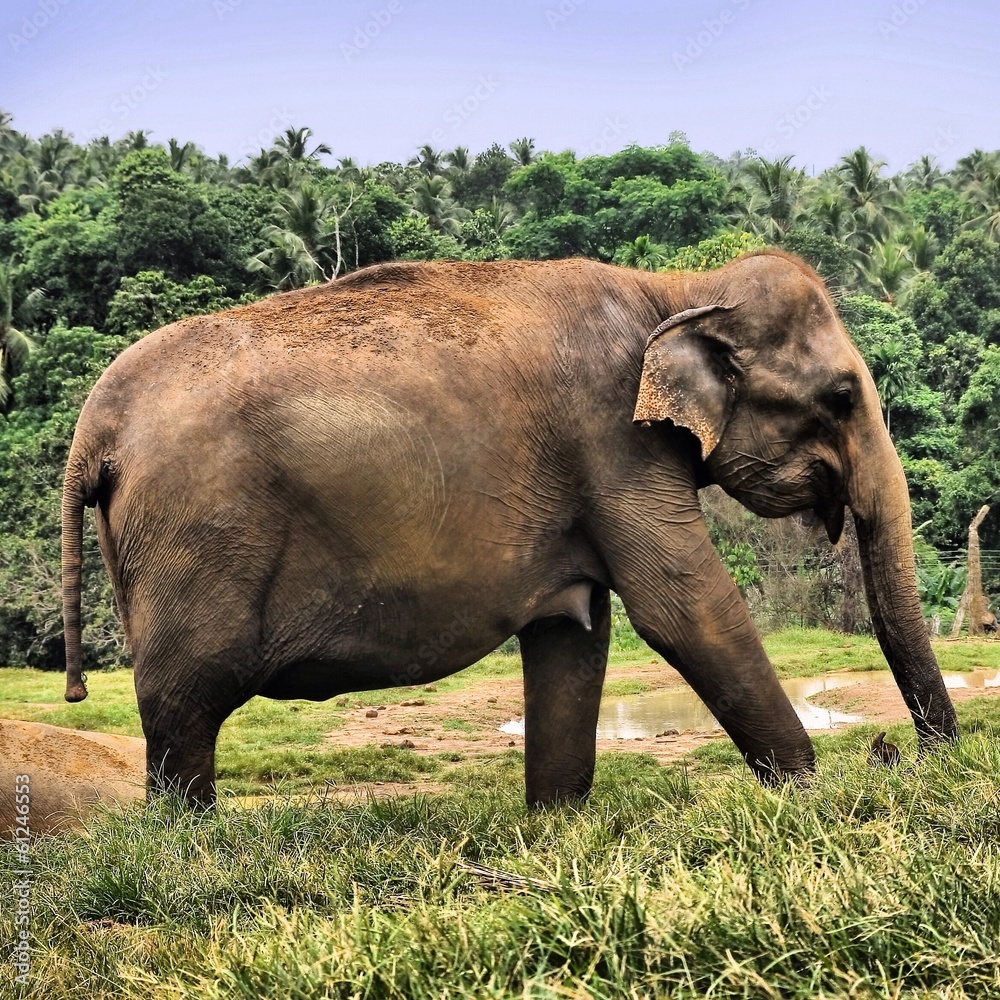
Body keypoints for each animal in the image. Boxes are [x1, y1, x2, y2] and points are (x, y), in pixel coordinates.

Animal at [61, 250, 959, 806]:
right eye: (842, 396)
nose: (896, 754)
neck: (672, 290)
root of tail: (91, 429)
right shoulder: (613, 440)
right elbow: (682, 607)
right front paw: (812, 799)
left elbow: (575, 633)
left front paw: (557, 828)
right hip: (191, 537)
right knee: (184, 707)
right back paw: (194, 849)